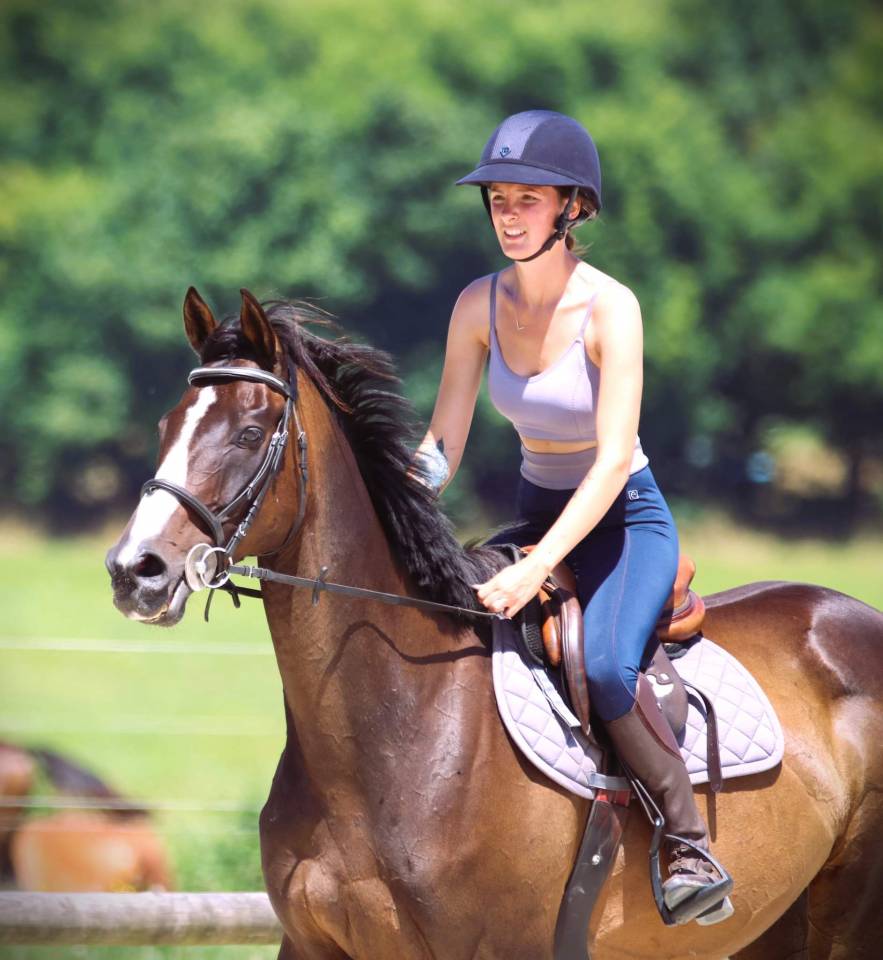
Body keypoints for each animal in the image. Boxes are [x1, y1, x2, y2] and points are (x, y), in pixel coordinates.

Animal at [106, 287, 883, 959]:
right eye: (166, 427)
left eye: (248, 431)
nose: (134, 570)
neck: (392, 731)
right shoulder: (309, 945)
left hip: (843, 919)